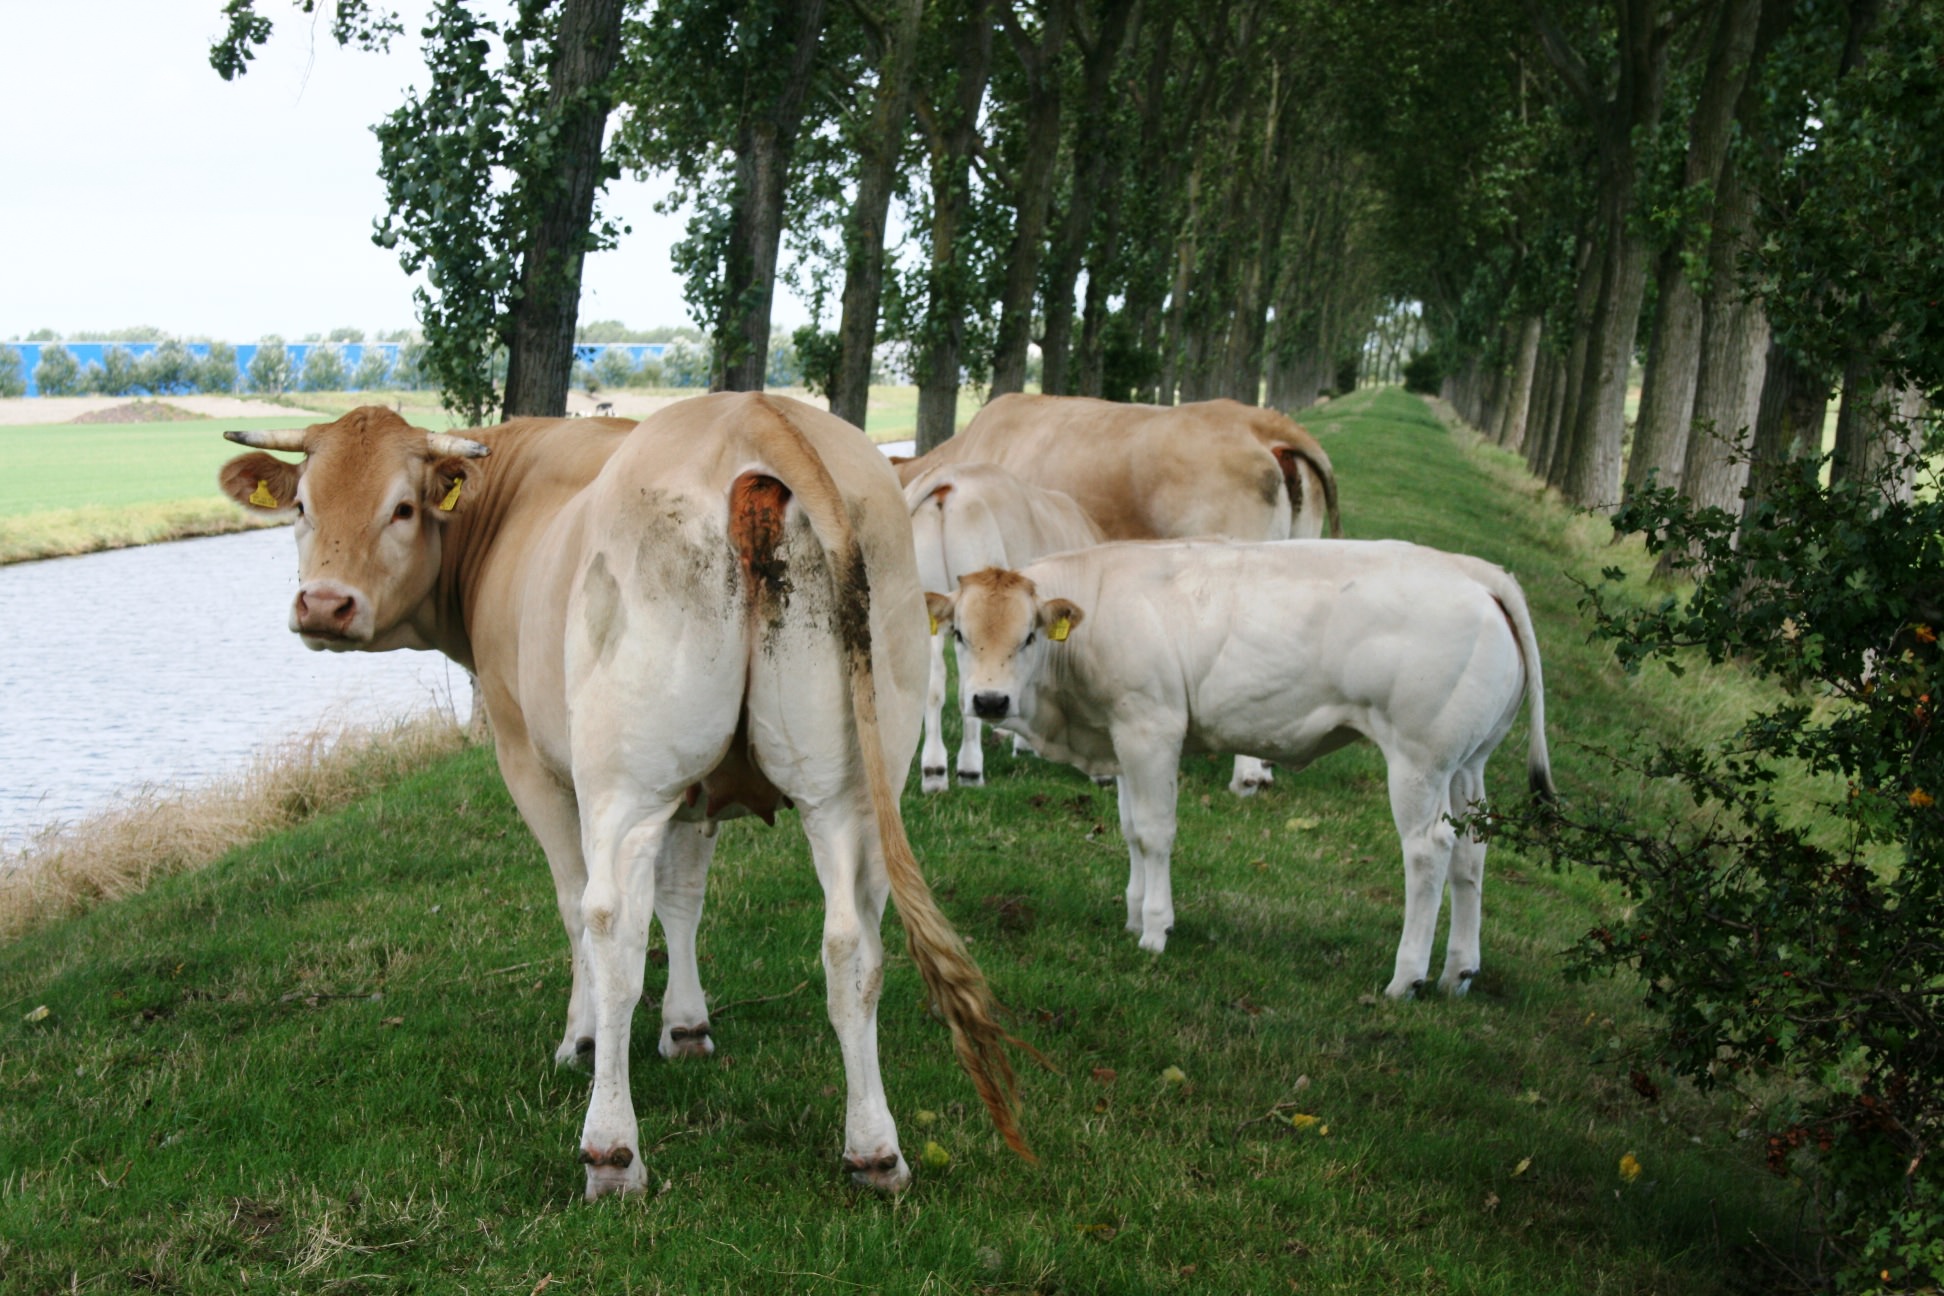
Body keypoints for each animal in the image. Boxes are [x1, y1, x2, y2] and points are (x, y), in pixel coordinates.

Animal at [218, 396, 1027, 1199]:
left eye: (404, 508)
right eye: (301, 505)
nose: (324, 605)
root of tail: (755, 410)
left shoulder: (530, 759)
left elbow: (576, 904)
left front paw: (579, 1040)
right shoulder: (696, 787)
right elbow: (684, 896)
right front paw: (688, 1027)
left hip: (627, 778)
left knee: (612, 927)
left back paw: (611, 1150)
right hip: (851, 788)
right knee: (852, 941)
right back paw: (875, 1151)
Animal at [924, 539, 1553, 999]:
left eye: (1029, 635)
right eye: (959, 634)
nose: (989, 702)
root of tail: (1471, 570)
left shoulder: (1151, 727)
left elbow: (1155, 833)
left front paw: (1154, 929)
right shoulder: (1123, 734)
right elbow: (1130, 829)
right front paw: (1133, 914)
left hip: (1420, 760)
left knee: (1429, 852)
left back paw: (1406, 978)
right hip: (1467, 763)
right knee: (1471, 851)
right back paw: (1457, 973)